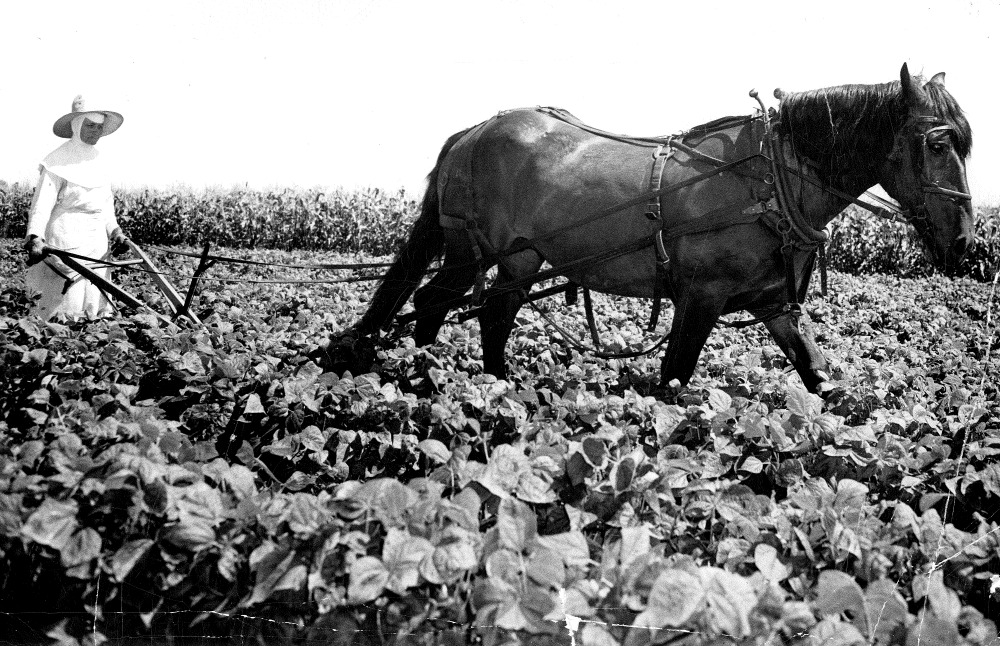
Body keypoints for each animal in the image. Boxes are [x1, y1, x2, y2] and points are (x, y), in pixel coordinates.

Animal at [350, 66, 968, 392]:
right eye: (939, 143)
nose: (964, 242)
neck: (770, 179)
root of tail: (472, 132)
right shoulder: (701, 296)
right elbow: (674, 376)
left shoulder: (775, 302)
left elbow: (817, 375)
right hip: (470, 250)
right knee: (434, 302)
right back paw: (425, 385)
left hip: (519, 258)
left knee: (491, 314)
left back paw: (491, 387)